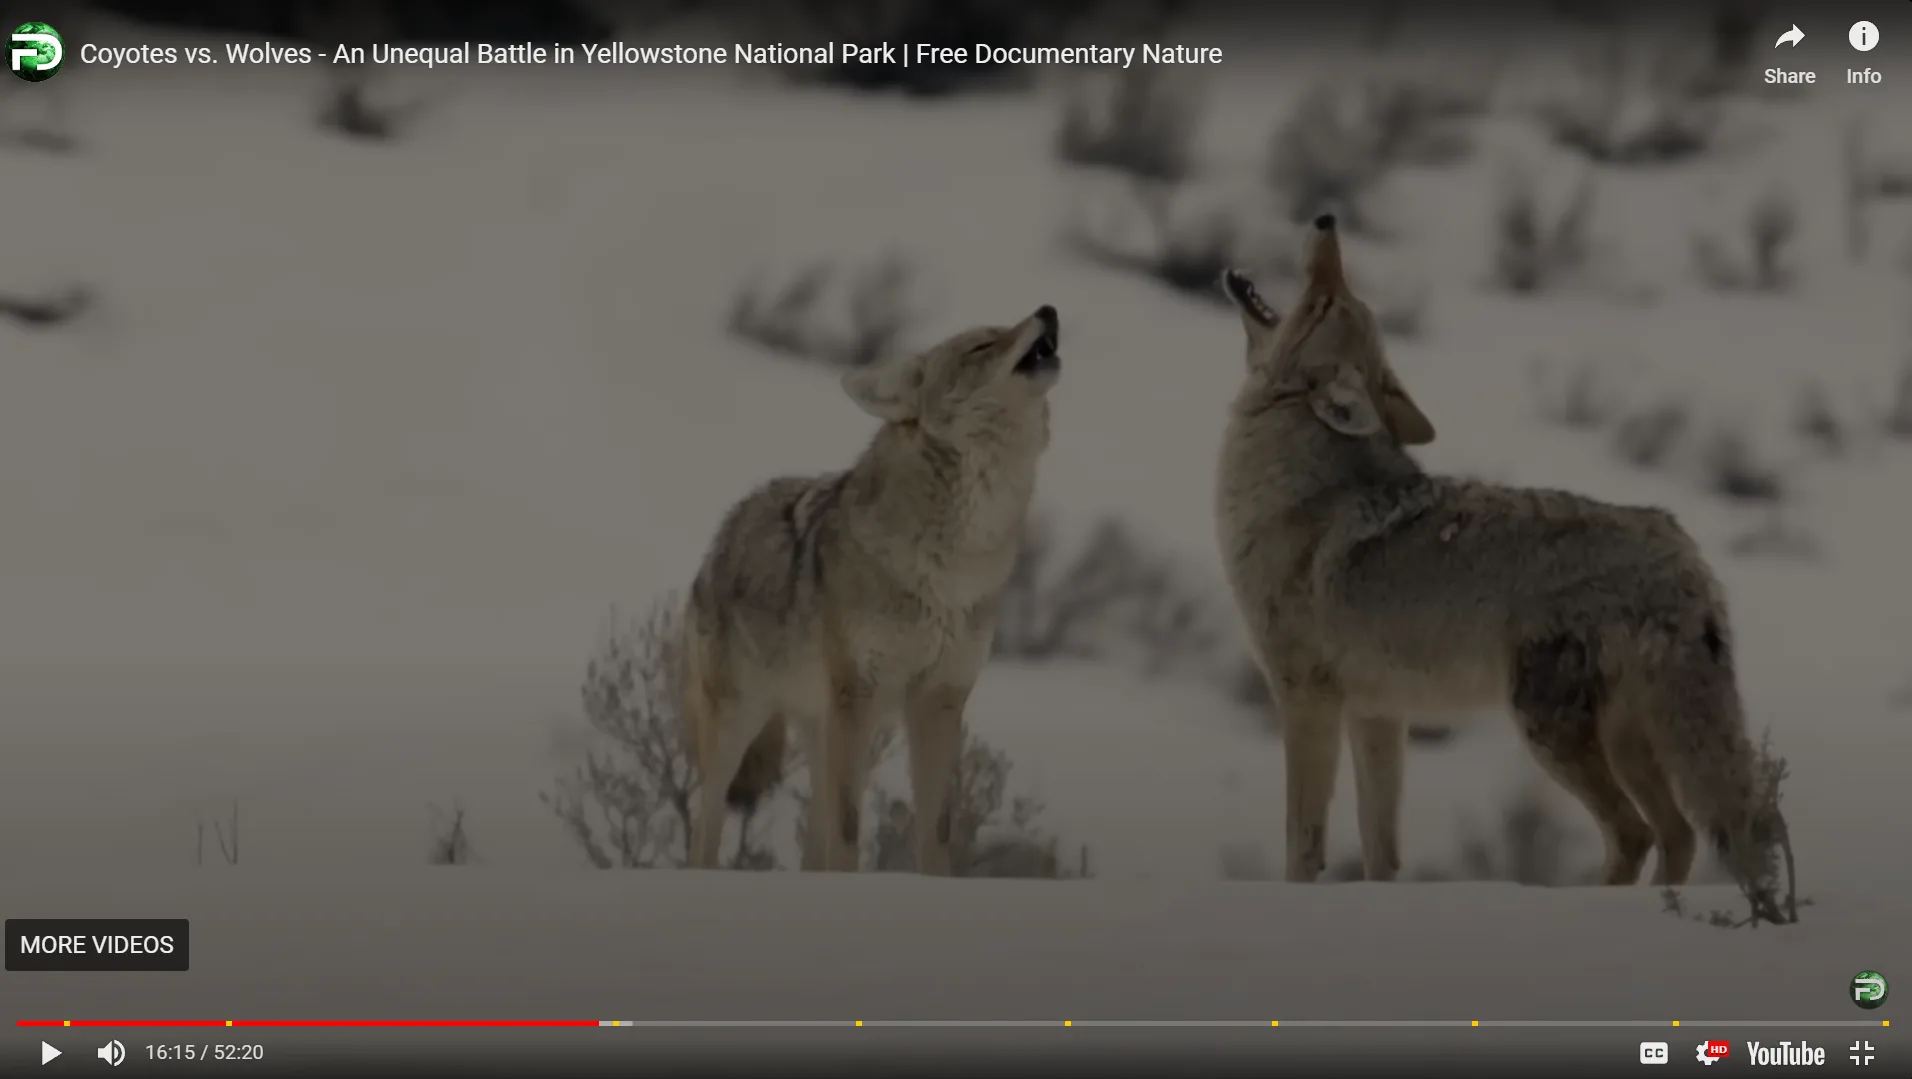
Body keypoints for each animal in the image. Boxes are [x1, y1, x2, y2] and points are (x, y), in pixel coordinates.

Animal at [682, 305, 1062, 874]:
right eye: (982, 345)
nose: (1048, 310)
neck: (956, 564)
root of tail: (725, 530)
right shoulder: (856, 696)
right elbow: (849, 826)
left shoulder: (940, 699)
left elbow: (937, 827)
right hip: (740, 726)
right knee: (704, 833)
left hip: (820, 731)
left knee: (810, 844)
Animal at [1214, 216, 1793, 921]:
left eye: (1326, 302)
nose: (1327, 219)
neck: (1290, 477)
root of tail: (1683, 562)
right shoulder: (1378, 716)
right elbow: (1381, 852)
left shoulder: (1306, 700)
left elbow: (1302, 844)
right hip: (1628, 741)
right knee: (1677, 833)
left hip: (1549, 732)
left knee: (1634, 832)